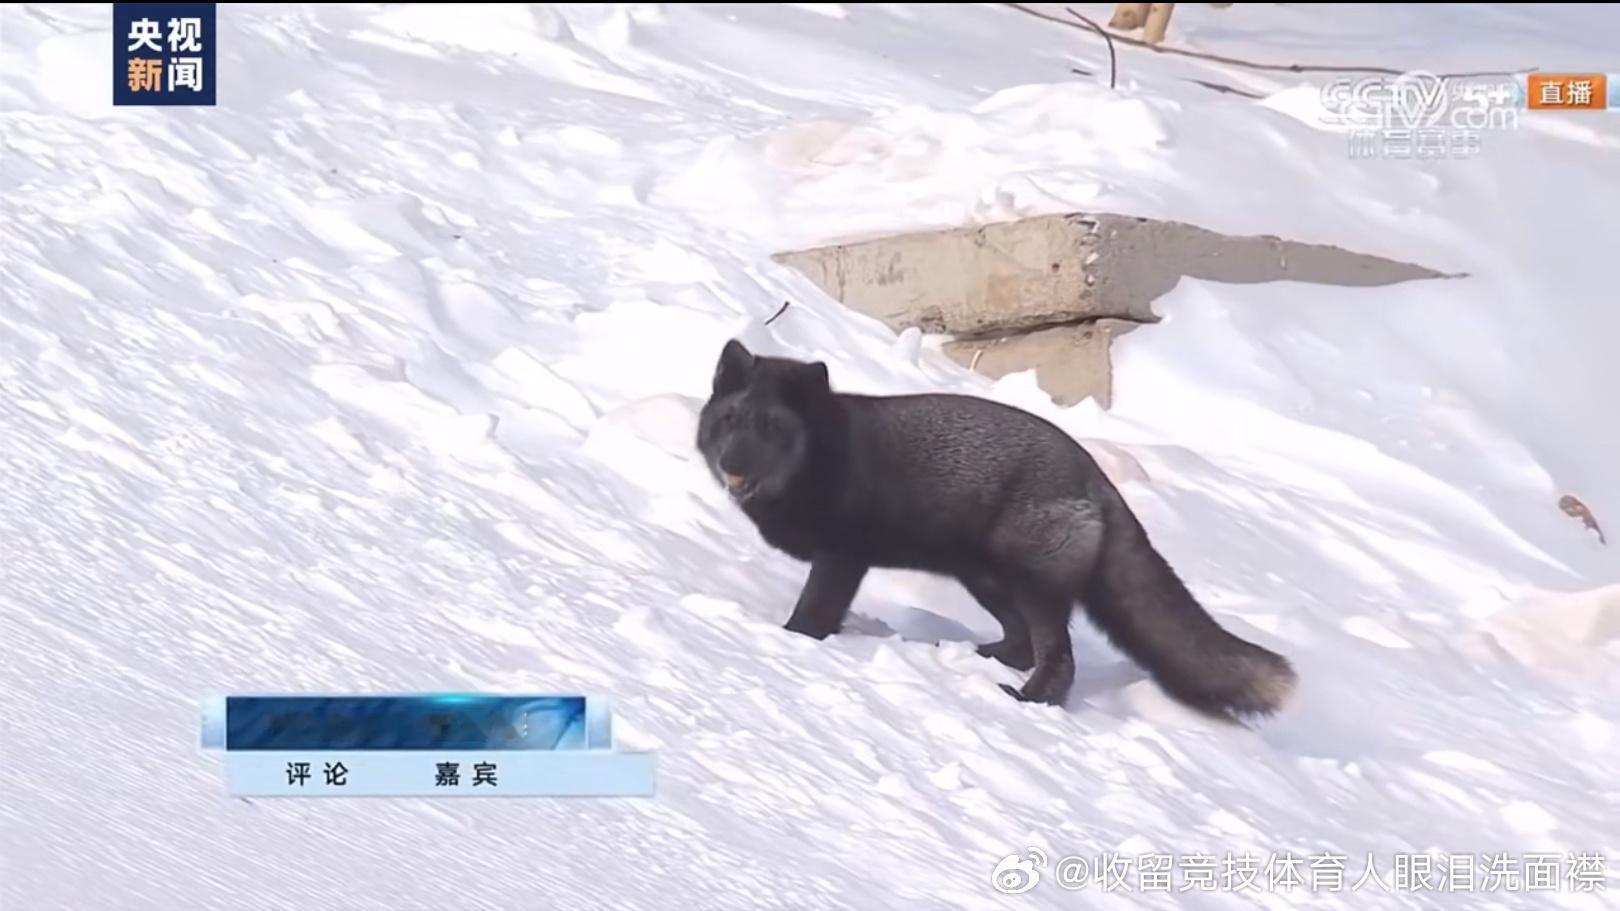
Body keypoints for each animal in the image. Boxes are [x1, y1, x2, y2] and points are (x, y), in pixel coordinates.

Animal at [690, 337, 1296, 719]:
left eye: (773, 428)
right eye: (730, 420)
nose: (733, 465)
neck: (817, 459)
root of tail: (1097, 478)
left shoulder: (843, 557)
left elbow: (812, 615)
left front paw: (790, 641)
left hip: (1034, 585)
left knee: (1057, 658)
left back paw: (1028, 701)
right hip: (984, 579)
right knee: (1021, 644)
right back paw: (976, 656)